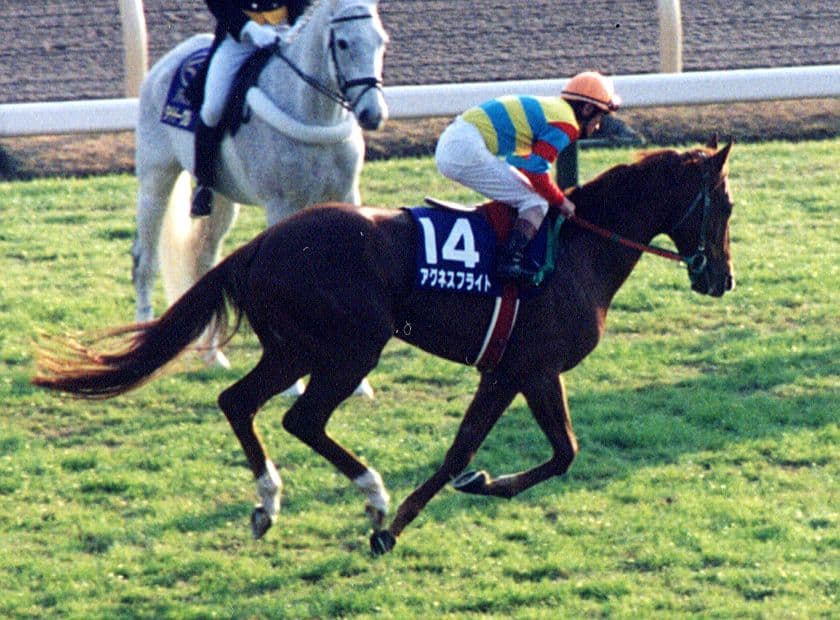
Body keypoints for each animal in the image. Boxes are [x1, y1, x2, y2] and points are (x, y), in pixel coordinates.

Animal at [33, 139, 735, 556]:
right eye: (724, 204)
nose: (721, 279)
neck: (580, 246)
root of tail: (261, 243)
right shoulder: (525, 369)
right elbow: (515, 453)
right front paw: (402, 524)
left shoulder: (520, 371)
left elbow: (532, 452)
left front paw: (472, 485)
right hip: (349, 348)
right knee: (301, 417)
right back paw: (372, 496)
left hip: (294, 349)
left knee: (238, 402)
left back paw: (268, 502)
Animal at [130, 0, 388, 375]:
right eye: (342, 43)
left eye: (382, 41)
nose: (373, 114)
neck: (312, 111)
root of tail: (167, 62)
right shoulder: (281, 206)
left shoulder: (345, 196)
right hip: (156, 180)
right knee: (144, 261)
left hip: (221, 199)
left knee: (204, 258)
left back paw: (214, 356)